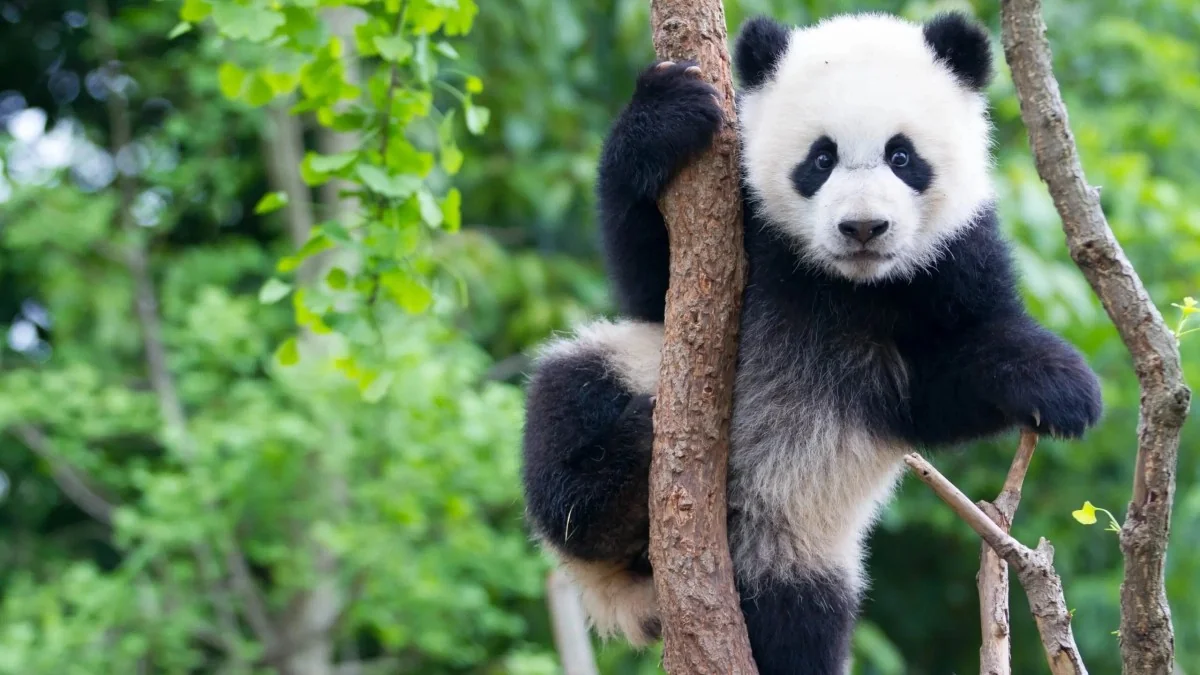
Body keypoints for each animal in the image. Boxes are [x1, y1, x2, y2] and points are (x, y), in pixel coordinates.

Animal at [520, 10, 1102, 674]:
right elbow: (648, 278)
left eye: (902, 156)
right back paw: (618, 476)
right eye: (820, 159)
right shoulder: (741, 227)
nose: (863, 227)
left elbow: (944, 384)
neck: (846, 284)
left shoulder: (954, 259)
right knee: (566, 413)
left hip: (794, 546)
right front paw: (666, 112)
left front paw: (1060, 386)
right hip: (627, 367)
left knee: (797, 623)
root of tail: (636, 590)